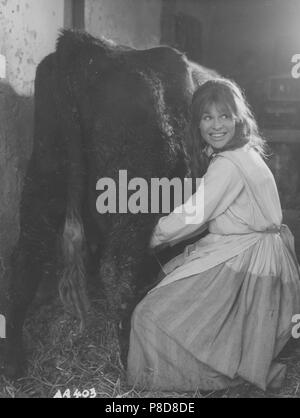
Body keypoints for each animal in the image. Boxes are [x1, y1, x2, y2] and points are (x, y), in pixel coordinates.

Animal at [1, 28, 216, 376]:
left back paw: (12, 358)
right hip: (135, 193)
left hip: (44, 174)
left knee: (26, 256)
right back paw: (131, 357)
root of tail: (90, 46)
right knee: (118, 268)